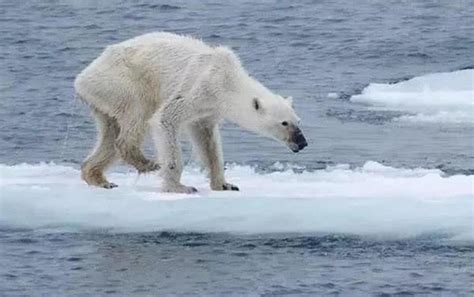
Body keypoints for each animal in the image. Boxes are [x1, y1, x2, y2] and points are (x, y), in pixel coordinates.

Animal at [75, 31, 308, 192]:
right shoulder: (198, 89)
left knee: (109, 133)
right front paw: (180, 187)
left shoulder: (209, 109)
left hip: (104, 98)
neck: (227, 79)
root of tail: (82, 78)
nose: (302, 143)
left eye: (298, 121)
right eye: (284, 123)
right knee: (137, 115)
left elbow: (208, 141)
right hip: (122, 82)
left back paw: (98, 178)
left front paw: (225, 184)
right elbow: (165, 119)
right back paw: (147, 163)